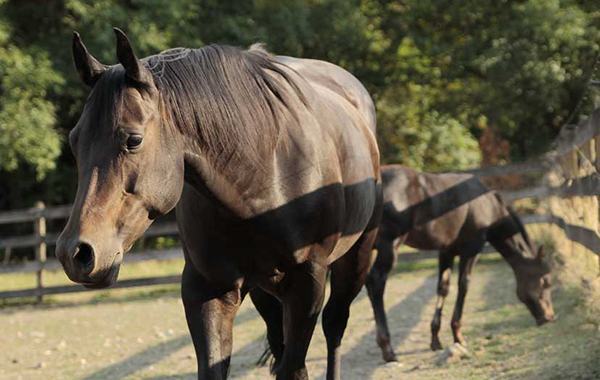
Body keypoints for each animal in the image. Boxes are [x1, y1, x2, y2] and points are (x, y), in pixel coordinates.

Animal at [57, 28, 384, 378]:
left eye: (133, 139)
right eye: (75, 141)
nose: (75, 253)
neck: (266, 178)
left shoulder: (307, 285)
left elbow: (295, 367)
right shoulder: (207, 289)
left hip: (355, 259)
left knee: (334, 326)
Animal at [364, 166, 556, 362]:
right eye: (545, 281)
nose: (550, 317)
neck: (488, 205)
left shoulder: (446, 251)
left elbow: (443, 288)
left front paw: (435, 339)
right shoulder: (472, 249)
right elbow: (463, 285)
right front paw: (458, 336)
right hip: (389, 246)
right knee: (376, 282)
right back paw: (388, 349)